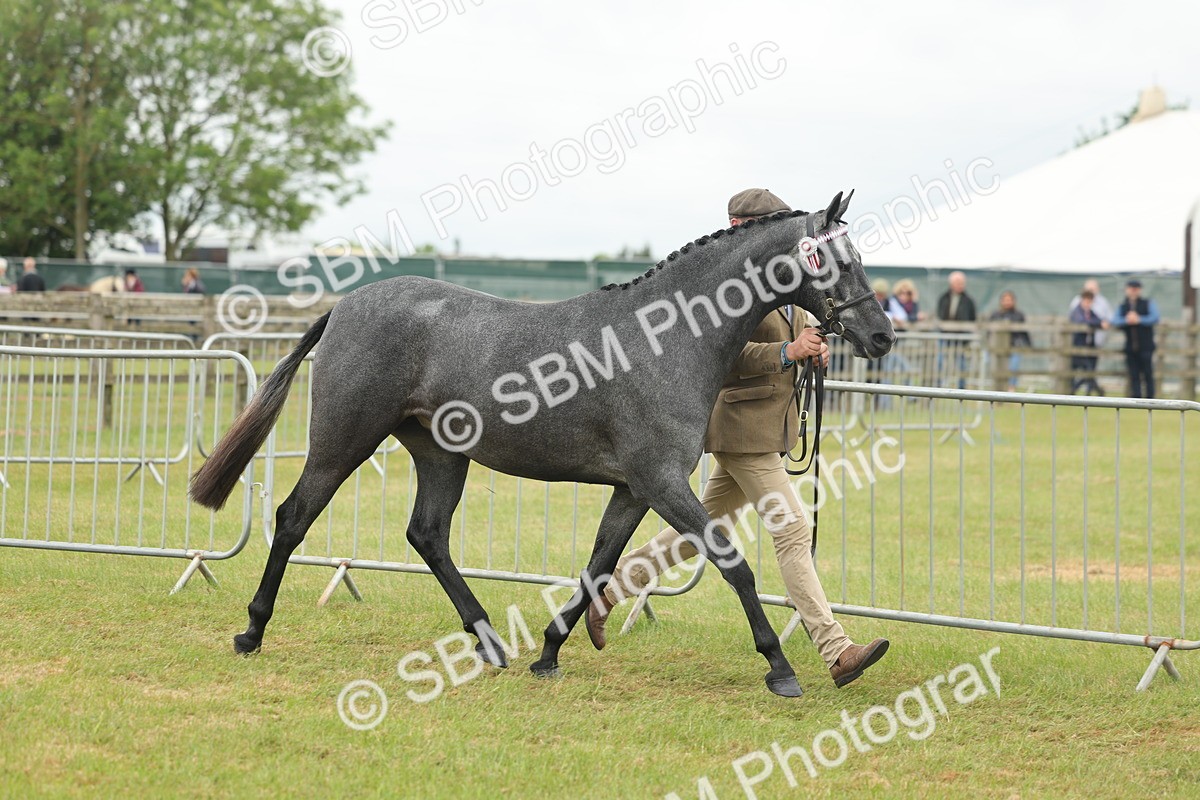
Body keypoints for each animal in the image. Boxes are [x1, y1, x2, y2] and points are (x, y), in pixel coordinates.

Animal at [190, 191, 895, 697]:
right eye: (836, 259)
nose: (881, 335)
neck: (665, 338)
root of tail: (344, 307)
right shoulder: (662, 481)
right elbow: (734, 563)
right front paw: (780, 668)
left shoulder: (634, 489)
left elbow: (598, 565)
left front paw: (551, 653)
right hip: (344, 441)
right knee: (293, 517)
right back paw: (251, 631)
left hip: (440, 455)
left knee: (428, 535)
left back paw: (490, 644)